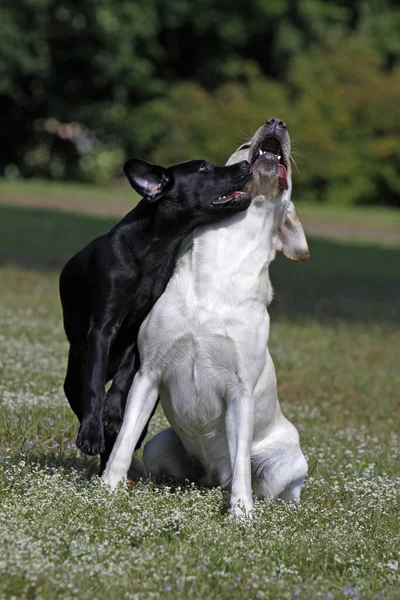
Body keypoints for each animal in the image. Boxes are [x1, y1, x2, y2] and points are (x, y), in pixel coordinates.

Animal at [58, 157, 253, 472]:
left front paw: (113, 410)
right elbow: (95, 386)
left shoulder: (139, 330)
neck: (152, 249)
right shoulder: (102, 327)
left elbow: (125, 378)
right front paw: (92, 432)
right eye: (203, 168)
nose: (247, 163)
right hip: (74, 375)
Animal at [102, 117, 310, 516]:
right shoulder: (148, 373)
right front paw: (107, 487)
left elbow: (242, 464)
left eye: (289, 170)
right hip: (161, 446)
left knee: (268, 486)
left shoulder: (241, 391)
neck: (222, 269)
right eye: (244, 148)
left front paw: (242, 514)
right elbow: (124, 439)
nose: (276, 122)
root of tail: (215, 475)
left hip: (287, 463)